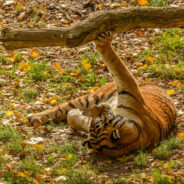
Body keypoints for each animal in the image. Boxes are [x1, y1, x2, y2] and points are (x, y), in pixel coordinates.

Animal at [28, 31, 176, 157]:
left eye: (102, 121)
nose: (98, 107)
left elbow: (117, 65)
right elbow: (117, 65)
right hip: (91, 97)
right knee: (60, 108)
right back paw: (35, 117)